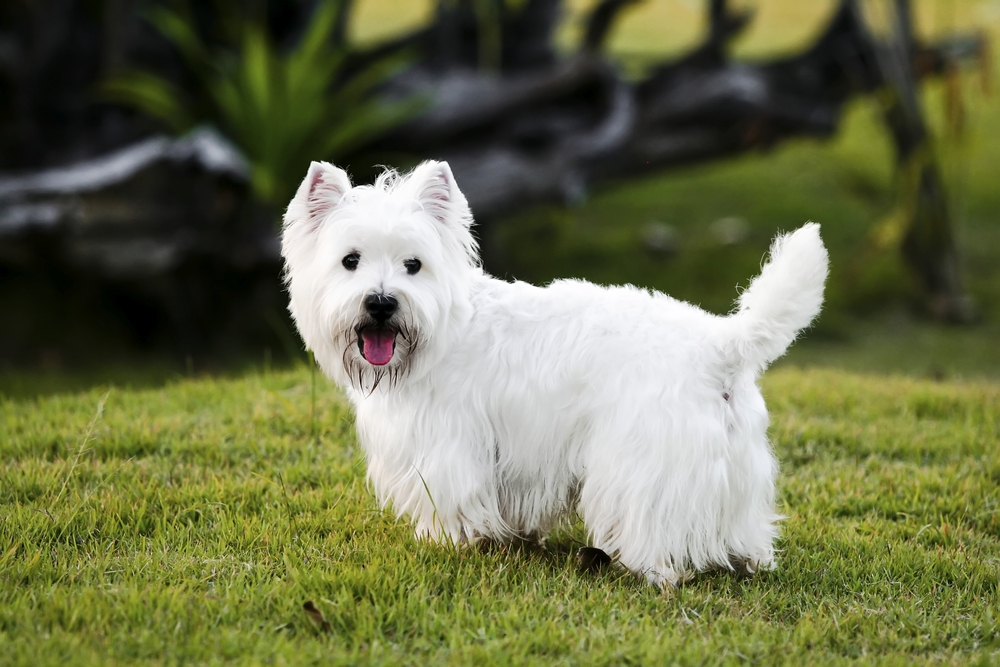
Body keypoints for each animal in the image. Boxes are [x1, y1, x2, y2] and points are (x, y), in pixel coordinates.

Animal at [282, 162, 828, 588]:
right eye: (350, 260)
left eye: (413, 265)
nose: (380, 303)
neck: (444, 330)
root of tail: (721, 345)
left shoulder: (449, 447)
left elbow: (455, 503)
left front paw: (449, 544)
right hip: (737, 469)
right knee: (744, 532)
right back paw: (747, 560)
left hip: (641, 465)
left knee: (653, 531)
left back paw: (651, 569)